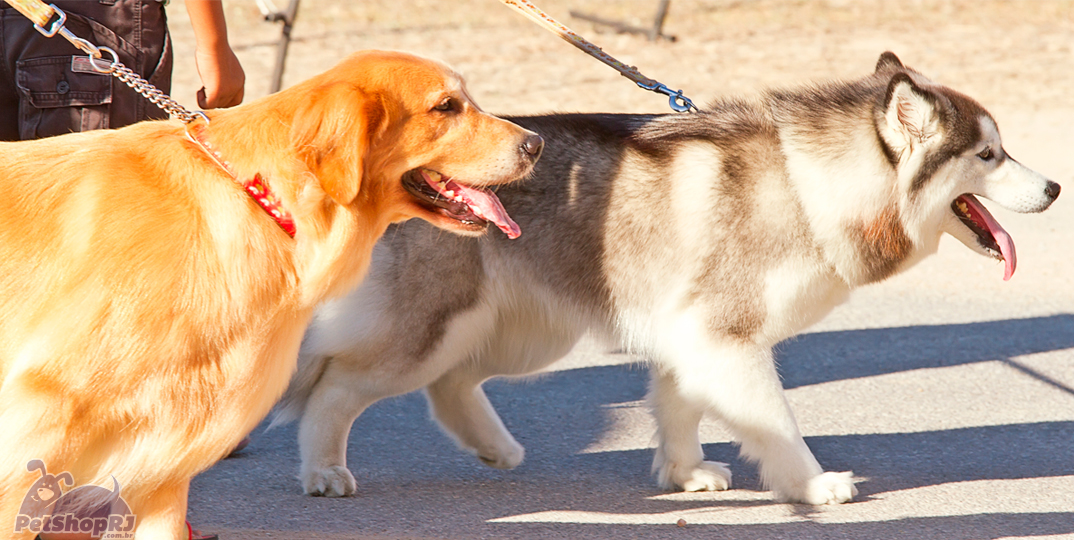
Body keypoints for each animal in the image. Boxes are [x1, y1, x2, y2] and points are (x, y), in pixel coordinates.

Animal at [272, 52, 1061, 504]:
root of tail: (404, 175)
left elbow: (680, 406)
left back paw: (494, 447)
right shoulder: (727, 337)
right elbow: (775, 422)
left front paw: (683, 475)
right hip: (434, 327)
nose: (1055, 187)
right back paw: (324, 470)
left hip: (520, 328)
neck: (808, 184)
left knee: (450, 383)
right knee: (337, 386)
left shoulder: (691, 333)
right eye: (988, 155)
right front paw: (811, 485)